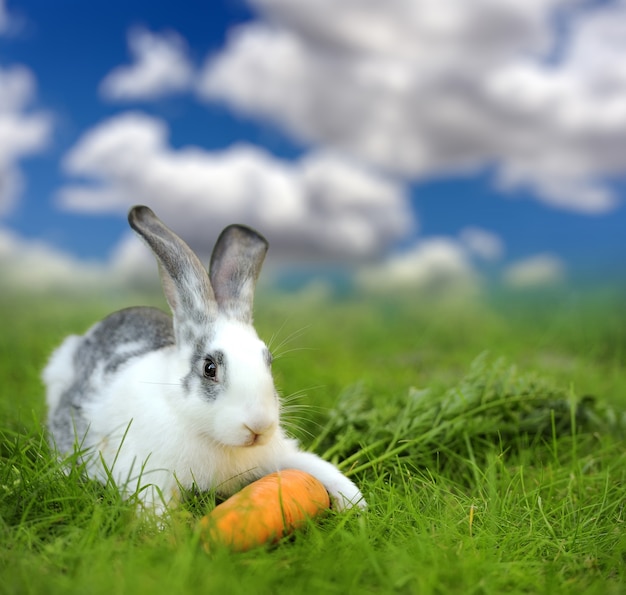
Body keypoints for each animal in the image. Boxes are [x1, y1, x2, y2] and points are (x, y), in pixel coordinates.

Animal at [44, 207, 364, 516]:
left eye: (269, 362)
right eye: (209, 368)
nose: (258, 427)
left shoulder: (281, 455)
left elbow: (316, 466)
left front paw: (356, 504)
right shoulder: (150, 476)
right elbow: (156, 510)